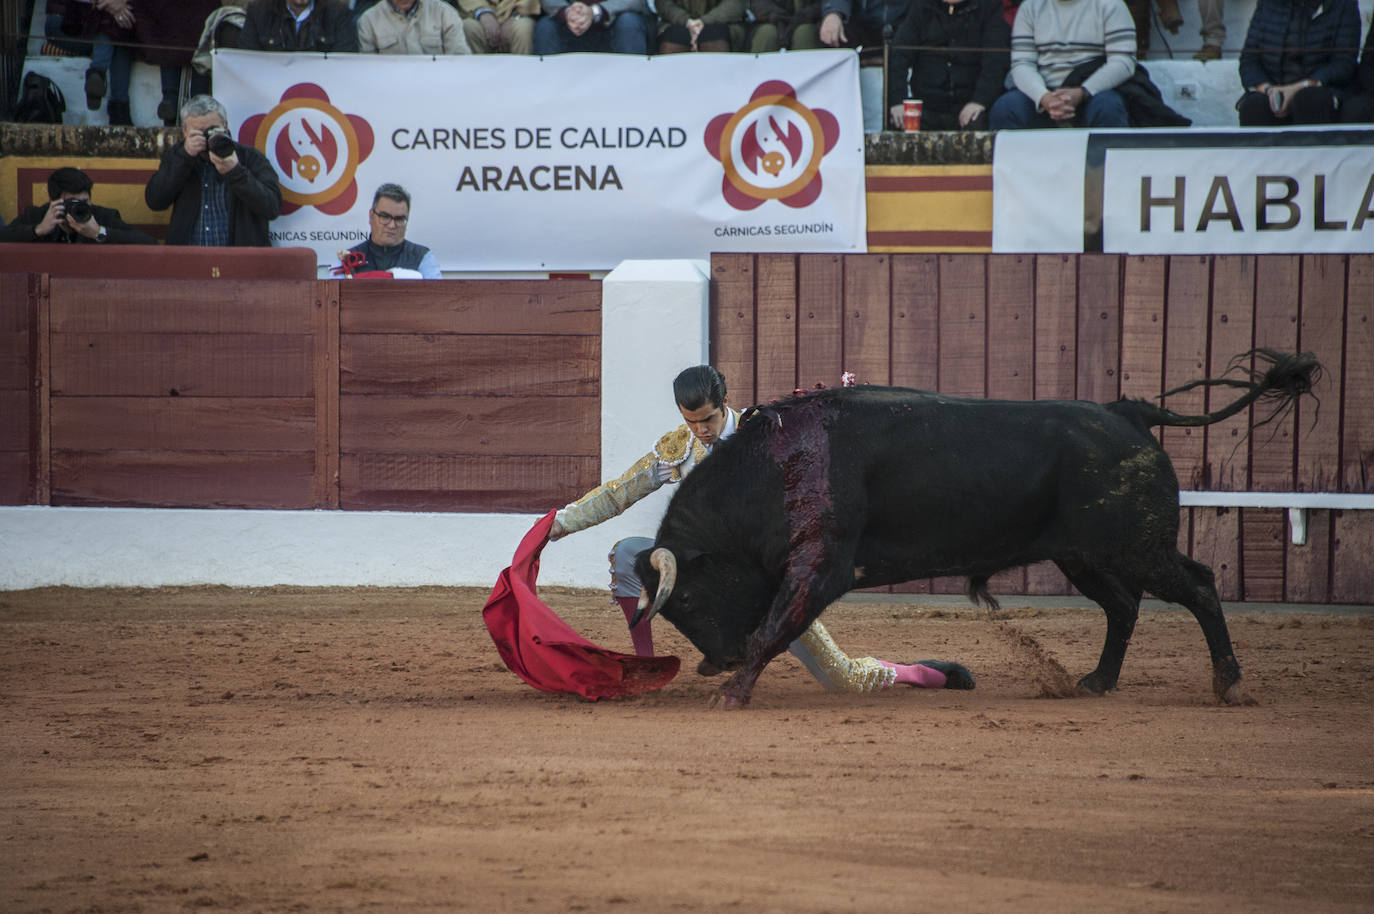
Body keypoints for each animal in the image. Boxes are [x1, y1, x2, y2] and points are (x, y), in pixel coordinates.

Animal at [632, 347, 1319, 703]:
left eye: (684, 599)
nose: (713, 662)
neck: (776, 464)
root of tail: (1126, 411)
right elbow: (773, 626)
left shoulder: (821, 565)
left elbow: (773, 628)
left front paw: (733, 691)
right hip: (1085, 555)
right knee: (1123, 606)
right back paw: (1097, 682)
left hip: (1135, 546)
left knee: (1198, 585)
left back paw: (1229, 685)